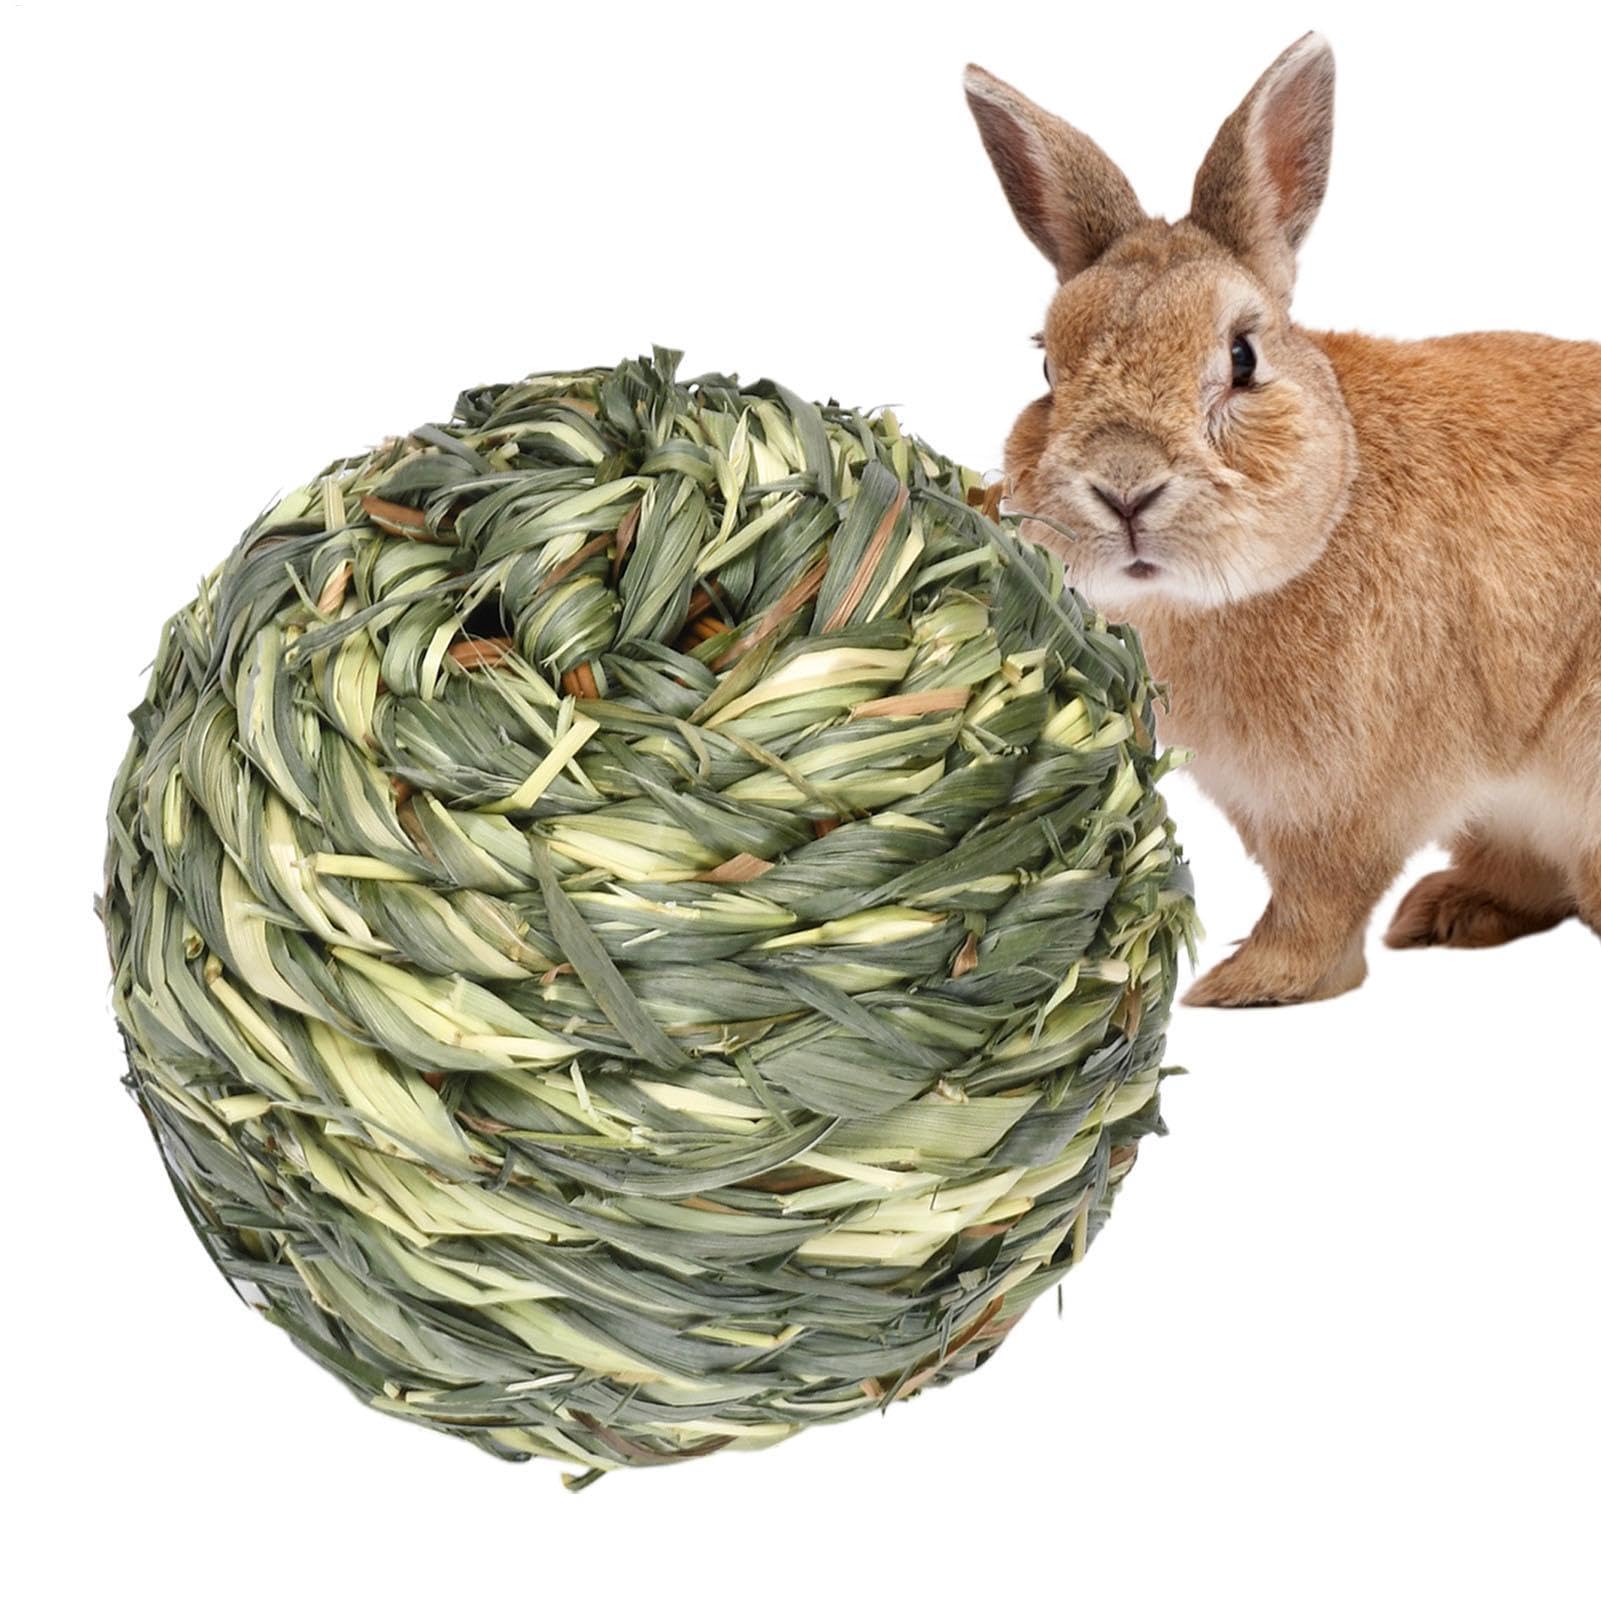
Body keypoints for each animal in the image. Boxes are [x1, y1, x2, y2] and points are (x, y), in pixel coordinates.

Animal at [964, 32, 1601, 1007]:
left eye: (1241, 356)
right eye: (1046, 368)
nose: (1123, 488)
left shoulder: (1353, 798)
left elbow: (1319, 901)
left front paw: (1242, 984)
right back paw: (1446, 913)